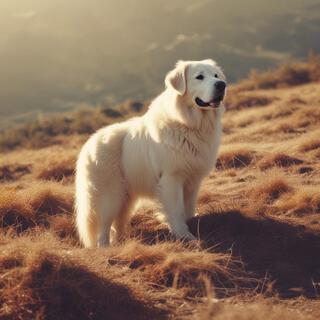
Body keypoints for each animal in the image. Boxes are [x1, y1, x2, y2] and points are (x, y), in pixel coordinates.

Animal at [75, 58, 225, 248]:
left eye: (216, 76)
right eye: (200, 77)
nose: (221, 85)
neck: (188, 124)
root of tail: (89, 143)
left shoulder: (193, 180)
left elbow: (188, 208)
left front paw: (191, 224)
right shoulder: (171, 179)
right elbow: (176, 211)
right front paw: (184, 235)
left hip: (126, 198)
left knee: (118, 224)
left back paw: (122, 242)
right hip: (110, 196)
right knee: (104, 227)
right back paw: (106, 248)